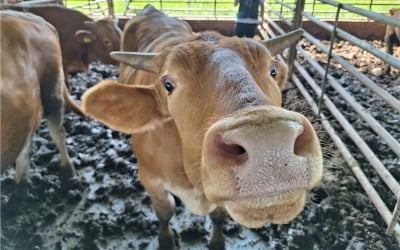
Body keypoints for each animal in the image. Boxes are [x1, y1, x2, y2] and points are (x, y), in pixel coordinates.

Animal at [81, 4, 322, 249]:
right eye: (168, 84)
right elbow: (165, 210)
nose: (269, 146)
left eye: (272, 71)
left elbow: (218, 215)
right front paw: (165, 240)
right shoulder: (149, 177)